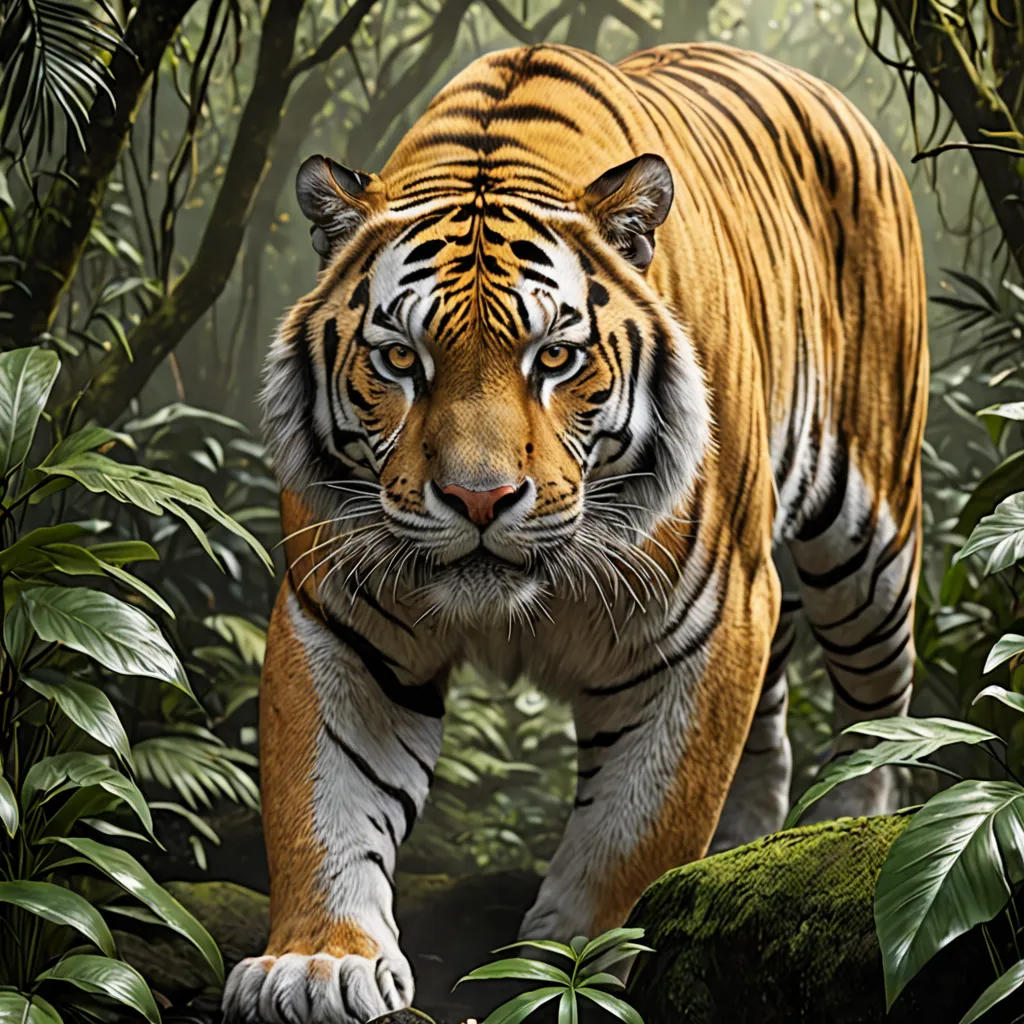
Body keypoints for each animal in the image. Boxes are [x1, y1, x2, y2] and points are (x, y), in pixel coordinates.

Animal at [222, 40, 927, 1024]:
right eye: (399, 359)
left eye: (554, 357)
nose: (479, 499)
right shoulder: (337, 613)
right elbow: (322, 798)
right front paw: (318, 963)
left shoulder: (709, 624)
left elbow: (632, 831)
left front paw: (572, 975)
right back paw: (744, 856)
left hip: (867, 549)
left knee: (878, 706)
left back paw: (843, 834)